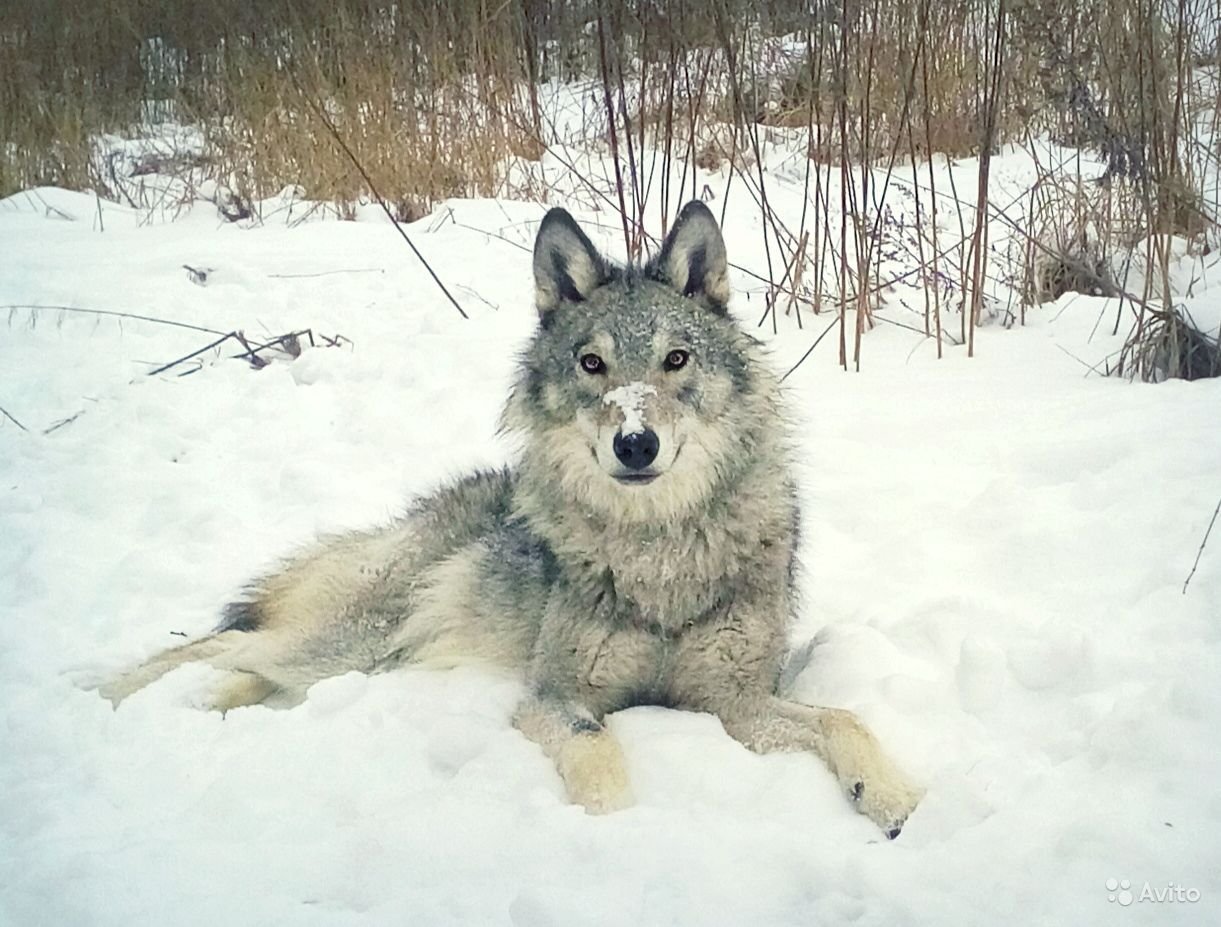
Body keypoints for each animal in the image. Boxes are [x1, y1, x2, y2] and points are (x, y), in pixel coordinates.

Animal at [105, 199, 918, 835]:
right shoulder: (555, 698)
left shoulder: (734, 703)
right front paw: (614, 832)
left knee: (245, 664)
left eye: (676, 359)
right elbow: (596, 751)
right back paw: (108, 693)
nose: (635, 443)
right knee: (217, 644)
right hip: (350, 636)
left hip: (361, 656)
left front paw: (889, 795)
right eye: (591, 364)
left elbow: (844, 718)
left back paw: (203, 704)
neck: (657, 550)